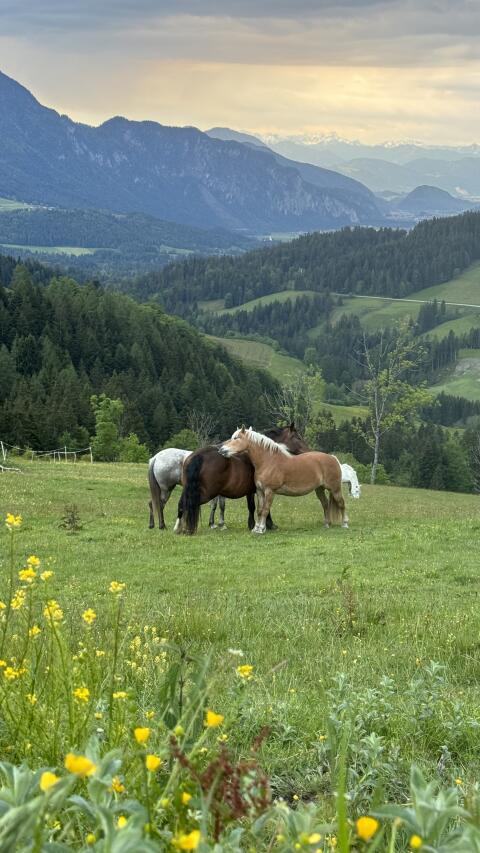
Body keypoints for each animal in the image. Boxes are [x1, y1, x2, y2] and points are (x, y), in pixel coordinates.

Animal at [174, 424, 309, 535]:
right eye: (298, 437)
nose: (308, 451)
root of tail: (198, 455)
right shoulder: (255, 490)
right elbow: (257, 507)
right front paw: (259, 525)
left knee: (182, 503)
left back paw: (179, 528)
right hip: (206, 492)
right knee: (189, 503)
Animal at [219, 426, 349, 534]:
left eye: (236, 438)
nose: (221, 450)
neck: (269, 461)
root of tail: (332, 458)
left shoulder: (270, 491)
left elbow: (265, 510)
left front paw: (261, 529)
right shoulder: (260, 491)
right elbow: (259, 510)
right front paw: (256, 528)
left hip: (335, 489)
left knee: (341, 503)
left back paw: (345, 524)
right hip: (319, 489)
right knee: (325, 504)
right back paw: (326, 524)